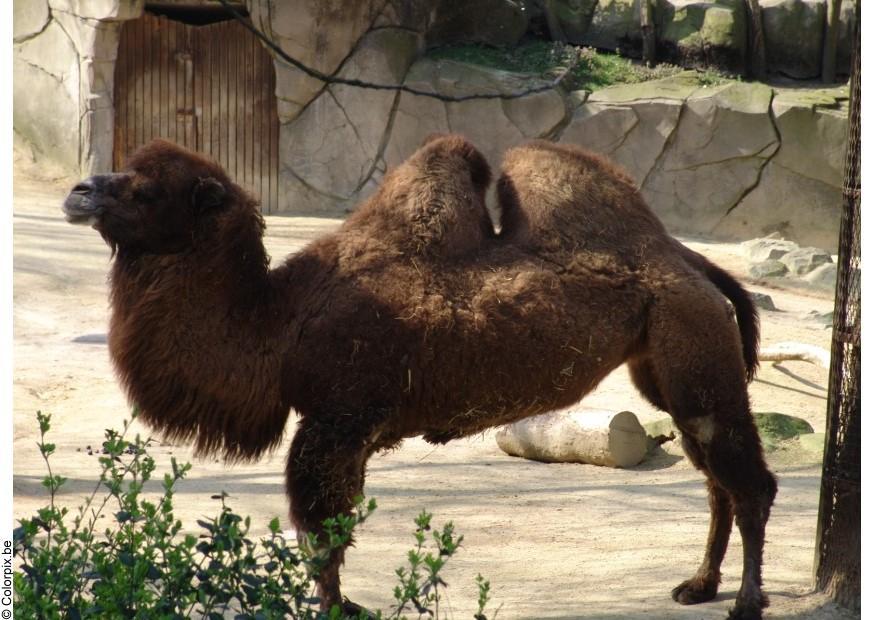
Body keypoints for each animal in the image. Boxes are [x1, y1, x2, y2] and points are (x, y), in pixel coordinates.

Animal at [62, 135, 776, 620]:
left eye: (148, 189)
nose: (79, 192)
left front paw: (338, 608)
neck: (276, 320)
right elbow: (329, 525)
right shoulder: (341, 429)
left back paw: (745, 600)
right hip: (662, 363)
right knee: (714, 476)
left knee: (749, 482)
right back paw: (697, 586)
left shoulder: (337, 422)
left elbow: (321, 527)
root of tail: (692, 264)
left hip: (694, 351)